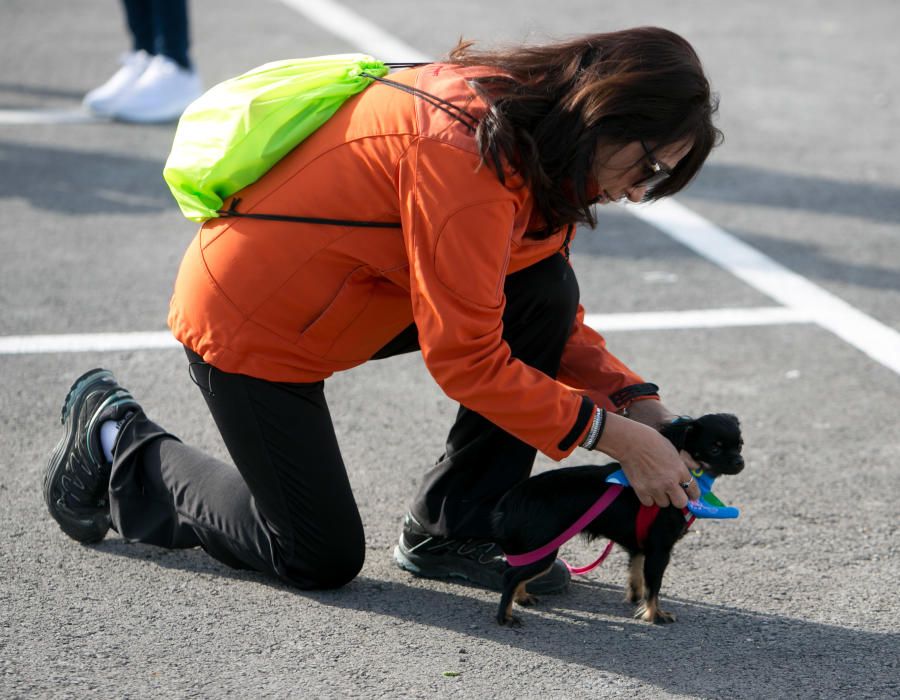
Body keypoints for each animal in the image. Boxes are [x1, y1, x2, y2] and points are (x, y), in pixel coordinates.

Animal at [492, 412, 744, 628]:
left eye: (740, 445)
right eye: (714, 448)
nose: (740, 462)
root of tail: (509, 502)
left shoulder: (640, 549)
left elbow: (637, 575)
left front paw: (636, 600)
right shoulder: (660, 550)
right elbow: (654, 586)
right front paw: (654, 614)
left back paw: (522, 597)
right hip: (544, 552)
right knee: (510, 576)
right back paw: (505, 617)